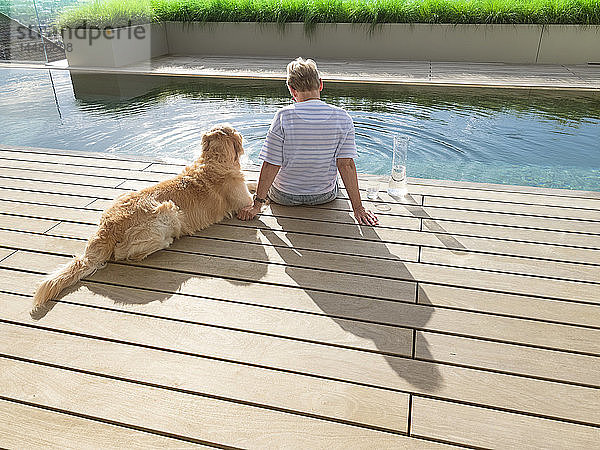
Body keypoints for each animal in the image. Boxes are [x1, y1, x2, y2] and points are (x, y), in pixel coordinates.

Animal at [31, 122, 254, 312]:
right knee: (128, 254)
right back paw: (166, 241)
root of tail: (107, 229)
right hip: (169, 211)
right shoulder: (244, 202)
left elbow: (252, 183)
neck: (214, 160)